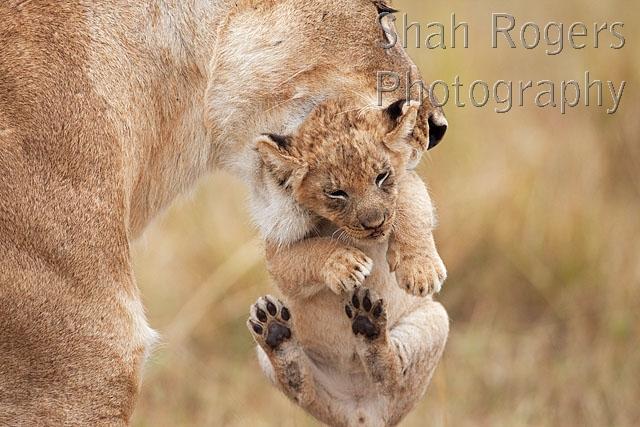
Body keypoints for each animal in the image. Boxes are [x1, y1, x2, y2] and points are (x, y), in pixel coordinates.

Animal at [246, 98, 448, 426]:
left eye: (381, 177)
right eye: (336, 193)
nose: (374, 224)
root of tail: (361, 412)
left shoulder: (408, 182)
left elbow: (409, 206)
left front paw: (420, 271)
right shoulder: (278, 244)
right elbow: (308, 254)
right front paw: (346, 264)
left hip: (435, 320)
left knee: (392, 378)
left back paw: (368, 321)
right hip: (279, 370)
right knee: (303, 390)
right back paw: (275, 331)